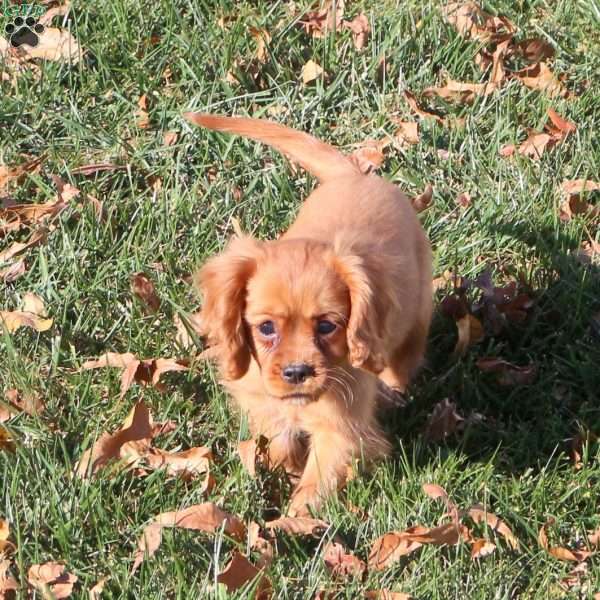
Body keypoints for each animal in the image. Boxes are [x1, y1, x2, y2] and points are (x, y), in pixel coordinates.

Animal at [183, 113, 432, 516]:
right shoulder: (262, 400)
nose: (297, 372)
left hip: (417, 315)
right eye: (266, 328)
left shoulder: (341, 430)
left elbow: (316, 483)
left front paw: (292, 521)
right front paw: (283, 467)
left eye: (328, 326)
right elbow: (279, 436)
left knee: (402, 361)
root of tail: (354, 174)